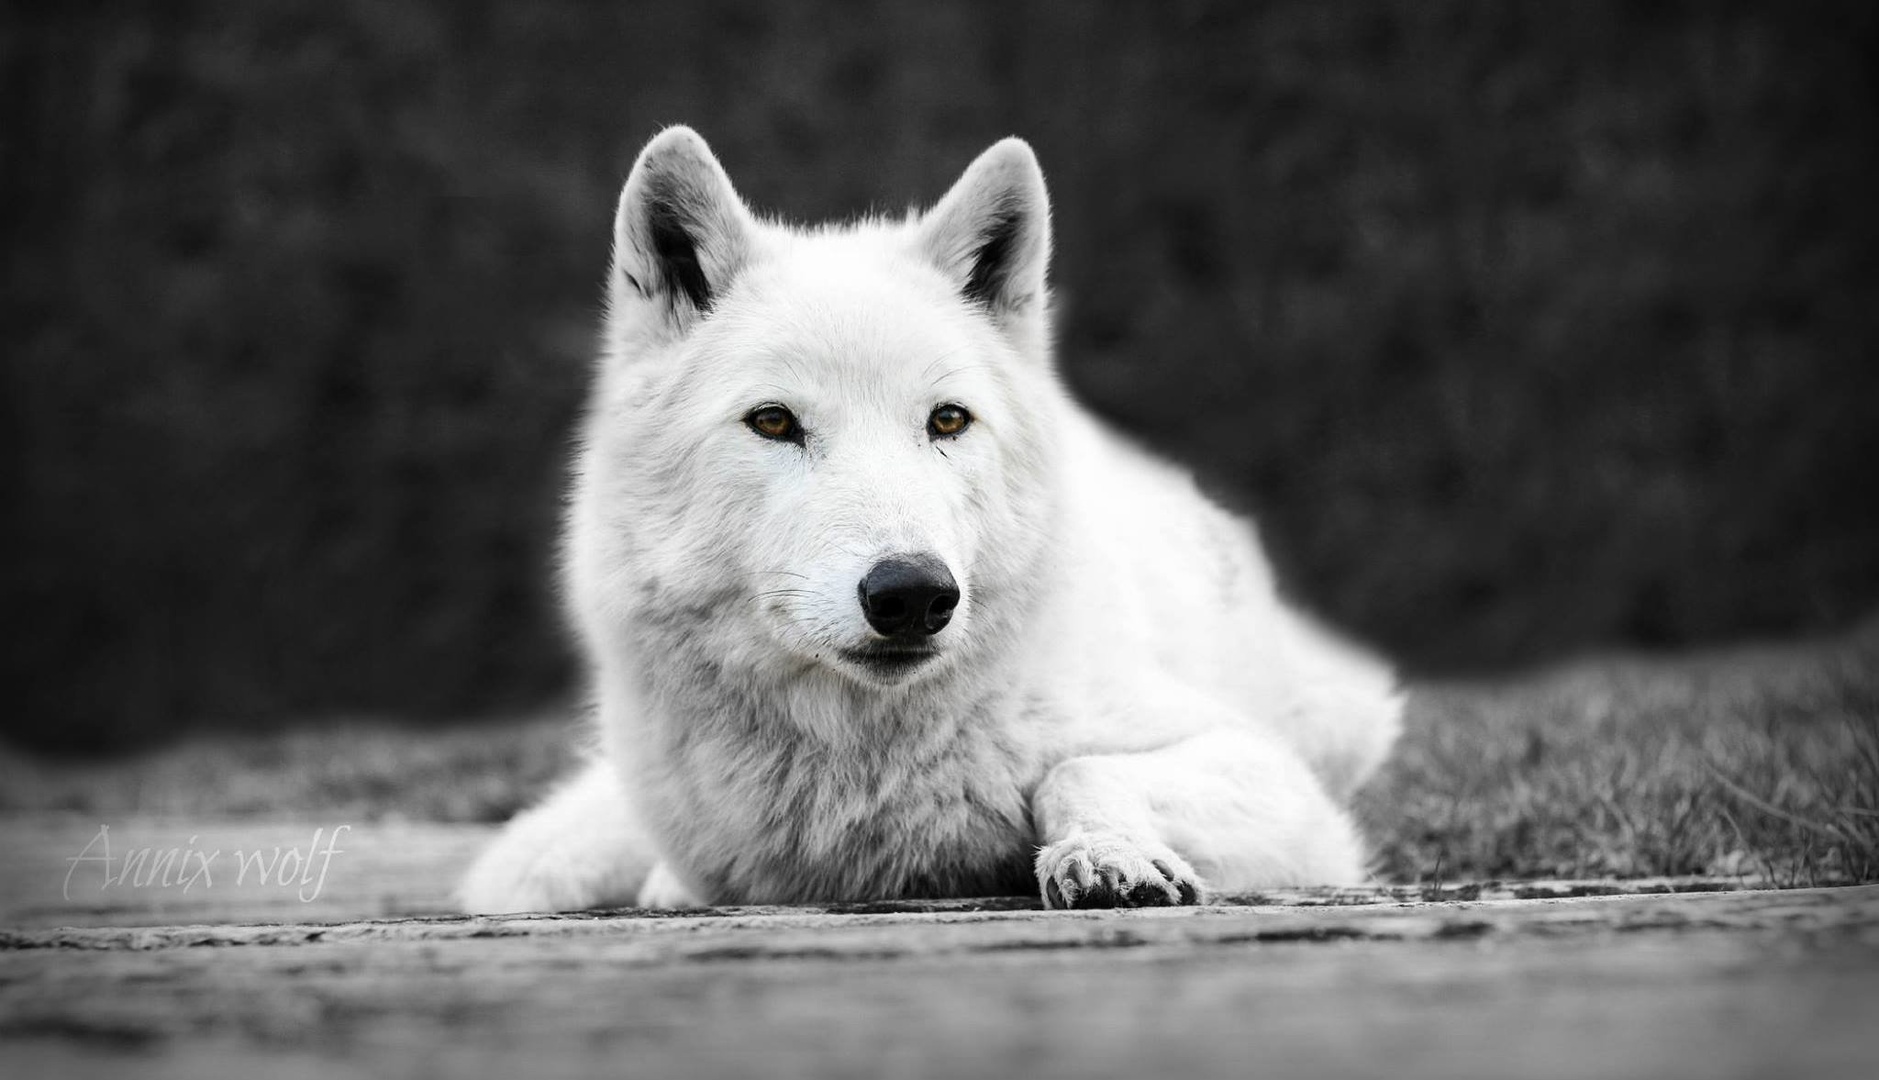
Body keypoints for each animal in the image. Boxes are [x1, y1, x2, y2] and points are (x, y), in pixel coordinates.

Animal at [458, 127, 1402, 913]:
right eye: (774, 422)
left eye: (947, 420)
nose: (912, 593)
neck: (873, 758)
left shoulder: (1282, 790)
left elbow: (1078, 768)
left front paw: (1108, 855)